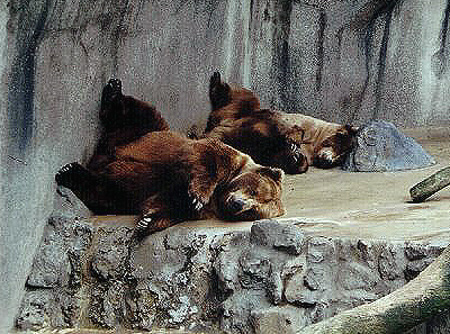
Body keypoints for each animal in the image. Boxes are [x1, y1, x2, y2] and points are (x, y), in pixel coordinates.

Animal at [54, 131, 284, 235]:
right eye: (254, 191)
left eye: (253, 211)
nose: (238, 204)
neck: (221, 194)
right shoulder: (221, 158)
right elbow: (205, 159)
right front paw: (199, 195)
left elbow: (171, 202)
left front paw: (148, 221)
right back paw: (67, 171)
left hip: (121, 187)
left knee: (104, 190)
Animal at [206, 72, 356, 172]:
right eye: (337, 146)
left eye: (341, 157)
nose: (328, 160)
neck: (314, 141)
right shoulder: (292, 122)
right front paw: (293, 141)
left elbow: (276, 156)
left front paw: (296, 156)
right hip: (242, 110)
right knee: (243, 98)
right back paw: (217, 81)